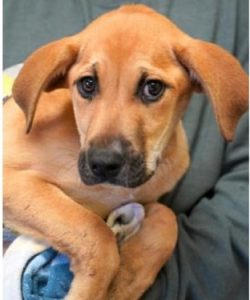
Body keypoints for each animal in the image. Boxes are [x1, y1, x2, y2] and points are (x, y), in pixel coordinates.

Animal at [3, 4, 248, 300]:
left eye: (153, 88)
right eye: (87, 84)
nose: (103, 163)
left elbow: (166, 219)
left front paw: (125, 280)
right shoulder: (14, 181)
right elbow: (95, 233)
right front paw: (90, 290)